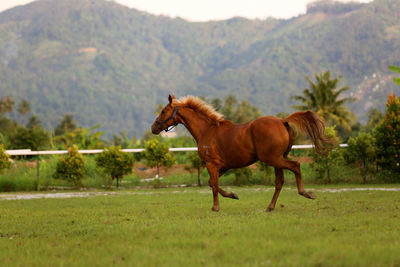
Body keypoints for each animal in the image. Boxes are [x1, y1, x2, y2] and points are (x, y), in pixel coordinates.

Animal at [152, 95, 332, 213]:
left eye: (163, 111)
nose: (153, 128)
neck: (207, 130)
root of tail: (283, 121)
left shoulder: (212, 164)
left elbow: (214, 185)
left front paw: (215, 207)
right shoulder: (222, 166)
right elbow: (212, 183)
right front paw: (233, 195)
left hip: (274, 158)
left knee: (295, 166)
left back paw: (306, 193)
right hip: (277, 160)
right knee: (279, 182)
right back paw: (270, 207)